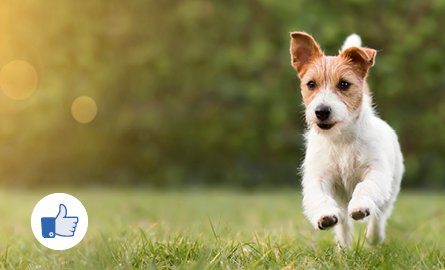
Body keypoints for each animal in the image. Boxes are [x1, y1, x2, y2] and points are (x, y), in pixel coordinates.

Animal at [290, 31, 404, 247]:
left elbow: (364, 187)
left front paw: (359, 207)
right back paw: (343, 247)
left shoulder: (375, 172)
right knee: (343, 222)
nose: (322, 111)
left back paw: (374, 238)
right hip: (341, 201)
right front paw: (325, 216)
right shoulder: (320, 176)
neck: (341, 139)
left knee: (380, 214)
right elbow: (320, 196)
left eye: (344, 84)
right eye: (311, 84)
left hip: (391, 188)